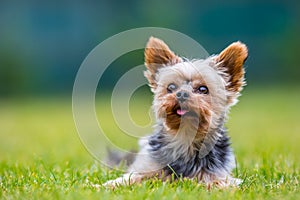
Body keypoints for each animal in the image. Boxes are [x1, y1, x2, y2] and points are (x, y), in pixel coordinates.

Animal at [103, 36, 248, 188]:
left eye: (203, 89)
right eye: (171, 87)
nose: (182, 94)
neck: (185, 136)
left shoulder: (216, 175)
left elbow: (217, 183)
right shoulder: (148, 168)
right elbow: (129, 178)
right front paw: (101, 187)